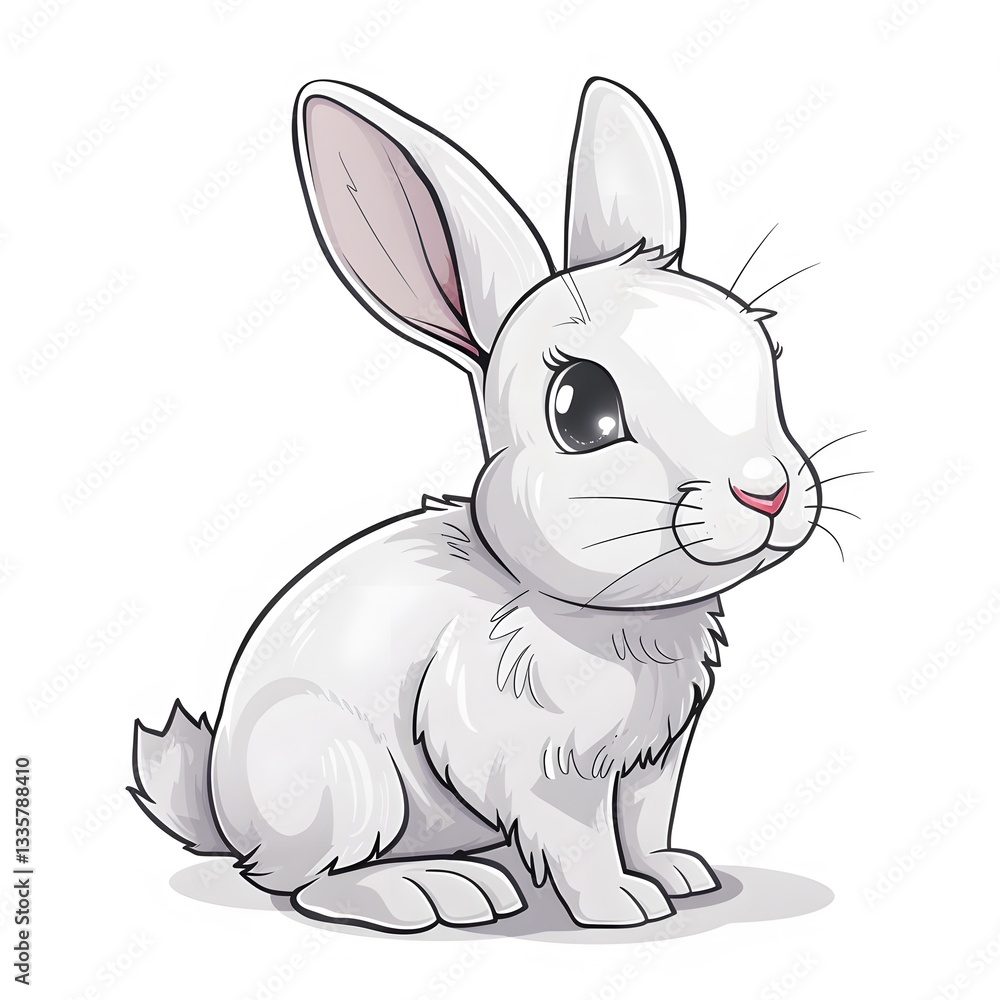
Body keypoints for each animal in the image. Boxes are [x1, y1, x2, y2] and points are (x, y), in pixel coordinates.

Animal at [130, 77, 823, 932]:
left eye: (770, 354)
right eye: (581, 409)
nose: (767, 489)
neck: (598, 615)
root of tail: (225, 813)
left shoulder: (652, 763)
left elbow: (643, 821)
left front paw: (675, 875)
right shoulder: (541, 768)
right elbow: (582, 839)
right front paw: (623, 905)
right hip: (346, 782)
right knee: (306, 884)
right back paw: (436, 891)